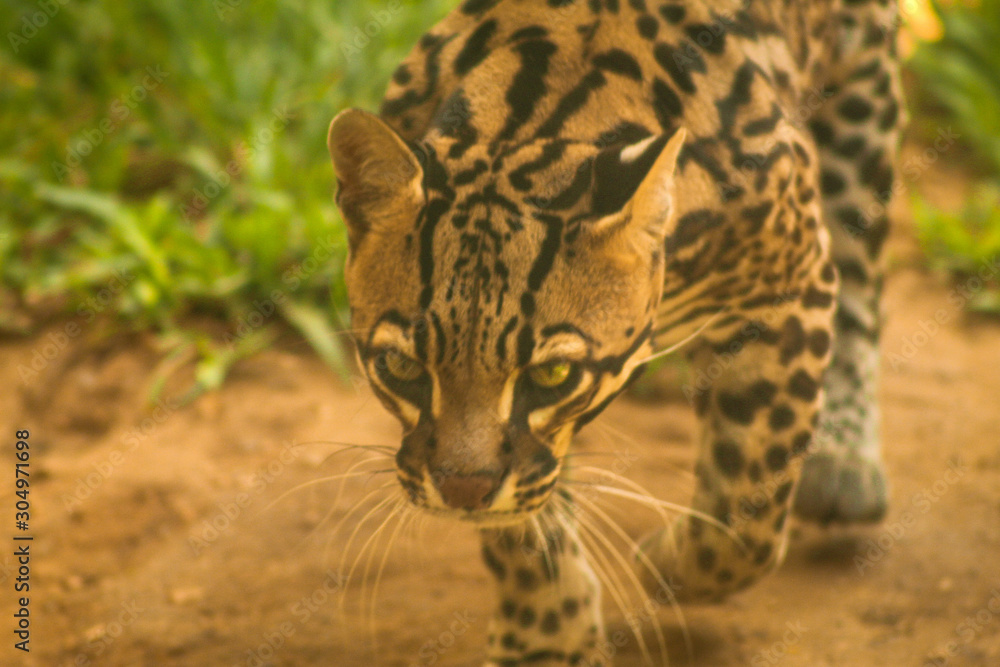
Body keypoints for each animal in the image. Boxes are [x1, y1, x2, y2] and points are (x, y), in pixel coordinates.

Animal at [326, 0, 902, 663]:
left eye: (553, 374)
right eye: (400, 368)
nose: (463, 492)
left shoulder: (790, 278)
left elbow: (749, 501)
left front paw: (668, 567)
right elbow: (528, 515)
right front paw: (546, 637)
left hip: (864, 99)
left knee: (861, 267)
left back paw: (845, 456)